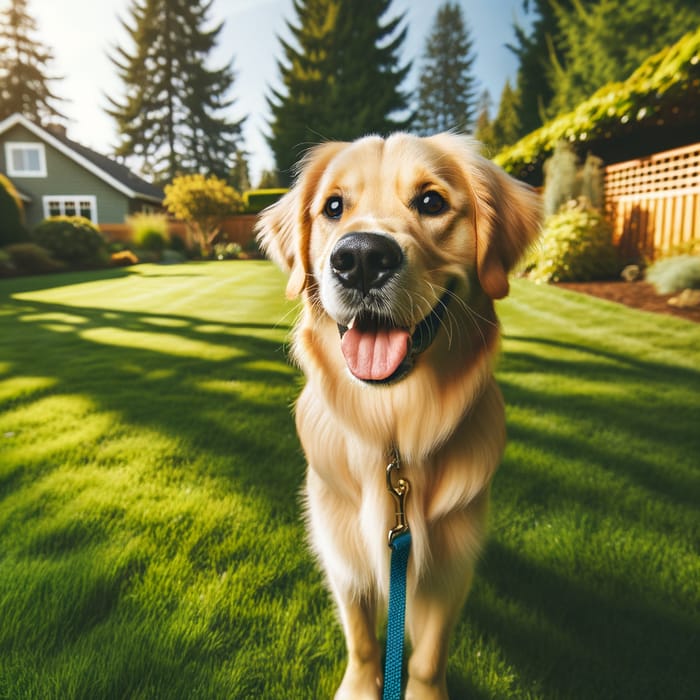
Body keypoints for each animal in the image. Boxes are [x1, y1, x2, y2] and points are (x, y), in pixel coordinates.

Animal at [258, 133, 540, 700]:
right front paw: (360, 687)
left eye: (431, 201)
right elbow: (364, 639)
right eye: (334, 207)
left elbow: (429, 656)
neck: (391, 426)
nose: (361, 258)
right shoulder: (343, 550)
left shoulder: (448, 564)